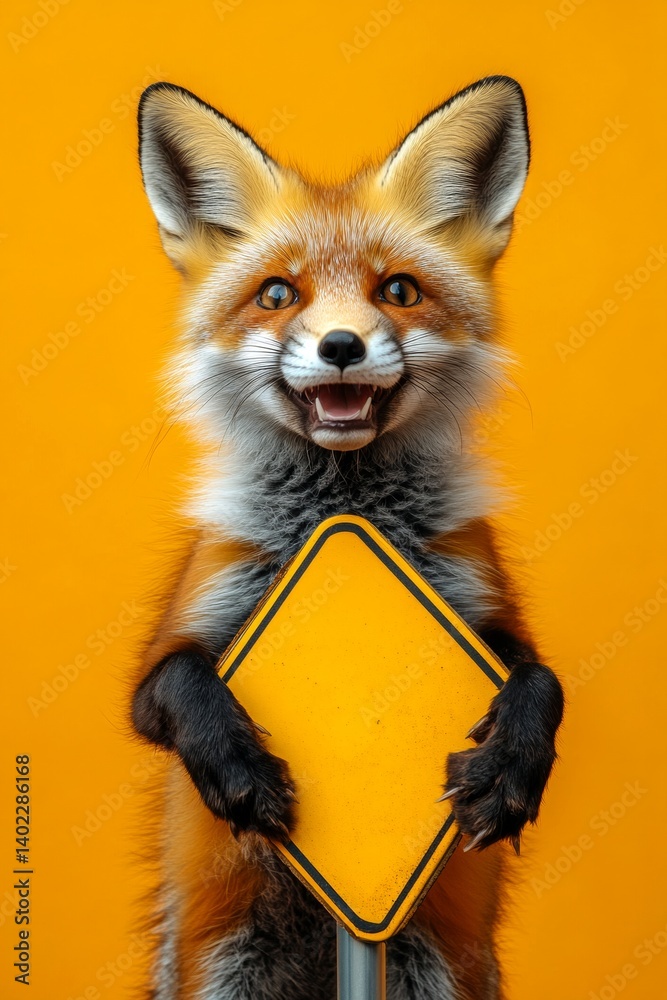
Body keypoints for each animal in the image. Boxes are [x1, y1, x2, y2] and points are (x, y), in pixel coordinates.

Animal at [131, 75, 565, 999]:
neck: (344, 508)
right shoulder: (184, 624)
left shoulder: (482, 601)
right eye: (276, 295)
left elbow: (541, 683)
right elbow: (179, 683)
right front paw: (239, 771)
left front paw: (511, 770)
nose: (340, 345)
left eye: (397, 291)